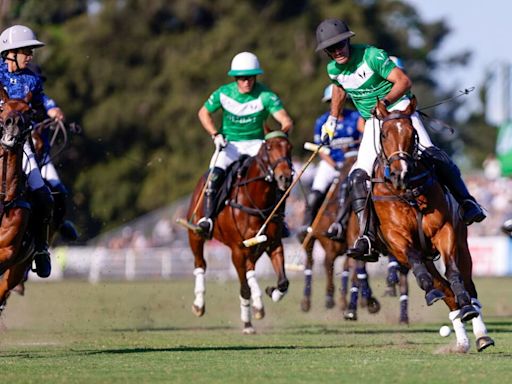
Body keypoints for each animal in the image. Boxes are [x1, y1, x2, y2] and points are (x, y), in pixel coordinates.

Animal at [187, 129, 292, 332]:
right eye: (269, 147)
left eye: (289, 147)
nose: (285, 177)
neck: (258, 201)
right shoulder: (237, 250)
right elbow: (244, 288)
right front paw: (248, 321)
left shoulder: (274, 244)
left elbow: (283, 282)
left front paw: (272, 292)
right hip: (195, 235)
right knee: (200, 264)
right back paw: (198, 304)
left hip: (255, 249)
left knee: (250, 270)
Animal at [372, 98, 492, 352]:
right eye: (385, 134)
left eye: (412, 133)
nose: (400, 173)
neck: (408, 193)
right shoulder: (397, 239)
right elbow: (420, 267)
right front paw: (429, 289)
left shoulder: (444, 230)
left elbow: (454, 273)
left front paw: (466, 305)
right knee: (444, 289)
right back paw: (460, 333)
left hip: (462, 244)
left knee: (467, 284)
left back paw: (479, 330)